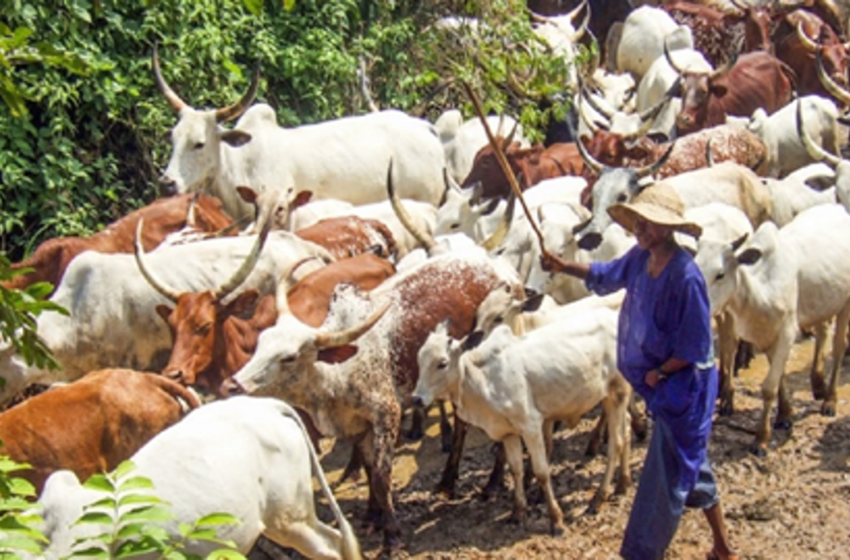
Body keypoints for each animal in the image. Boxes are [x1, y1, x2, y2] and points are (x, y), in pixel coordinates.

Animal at [410, 316, 628, 532]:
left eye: (442, 363)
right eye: (419, 359)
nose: (416, 399)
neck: (482, 378)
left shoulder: (531, 426)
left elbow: (541, 472)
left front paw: (556, 519)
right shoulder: (507, 433)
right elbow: (516, 470)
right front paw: (517, 512)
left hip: (617, 395)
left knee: (616, 446)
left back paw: (598, 499)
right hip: (615, 399)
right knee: (624, 437)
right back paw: (622, 486)